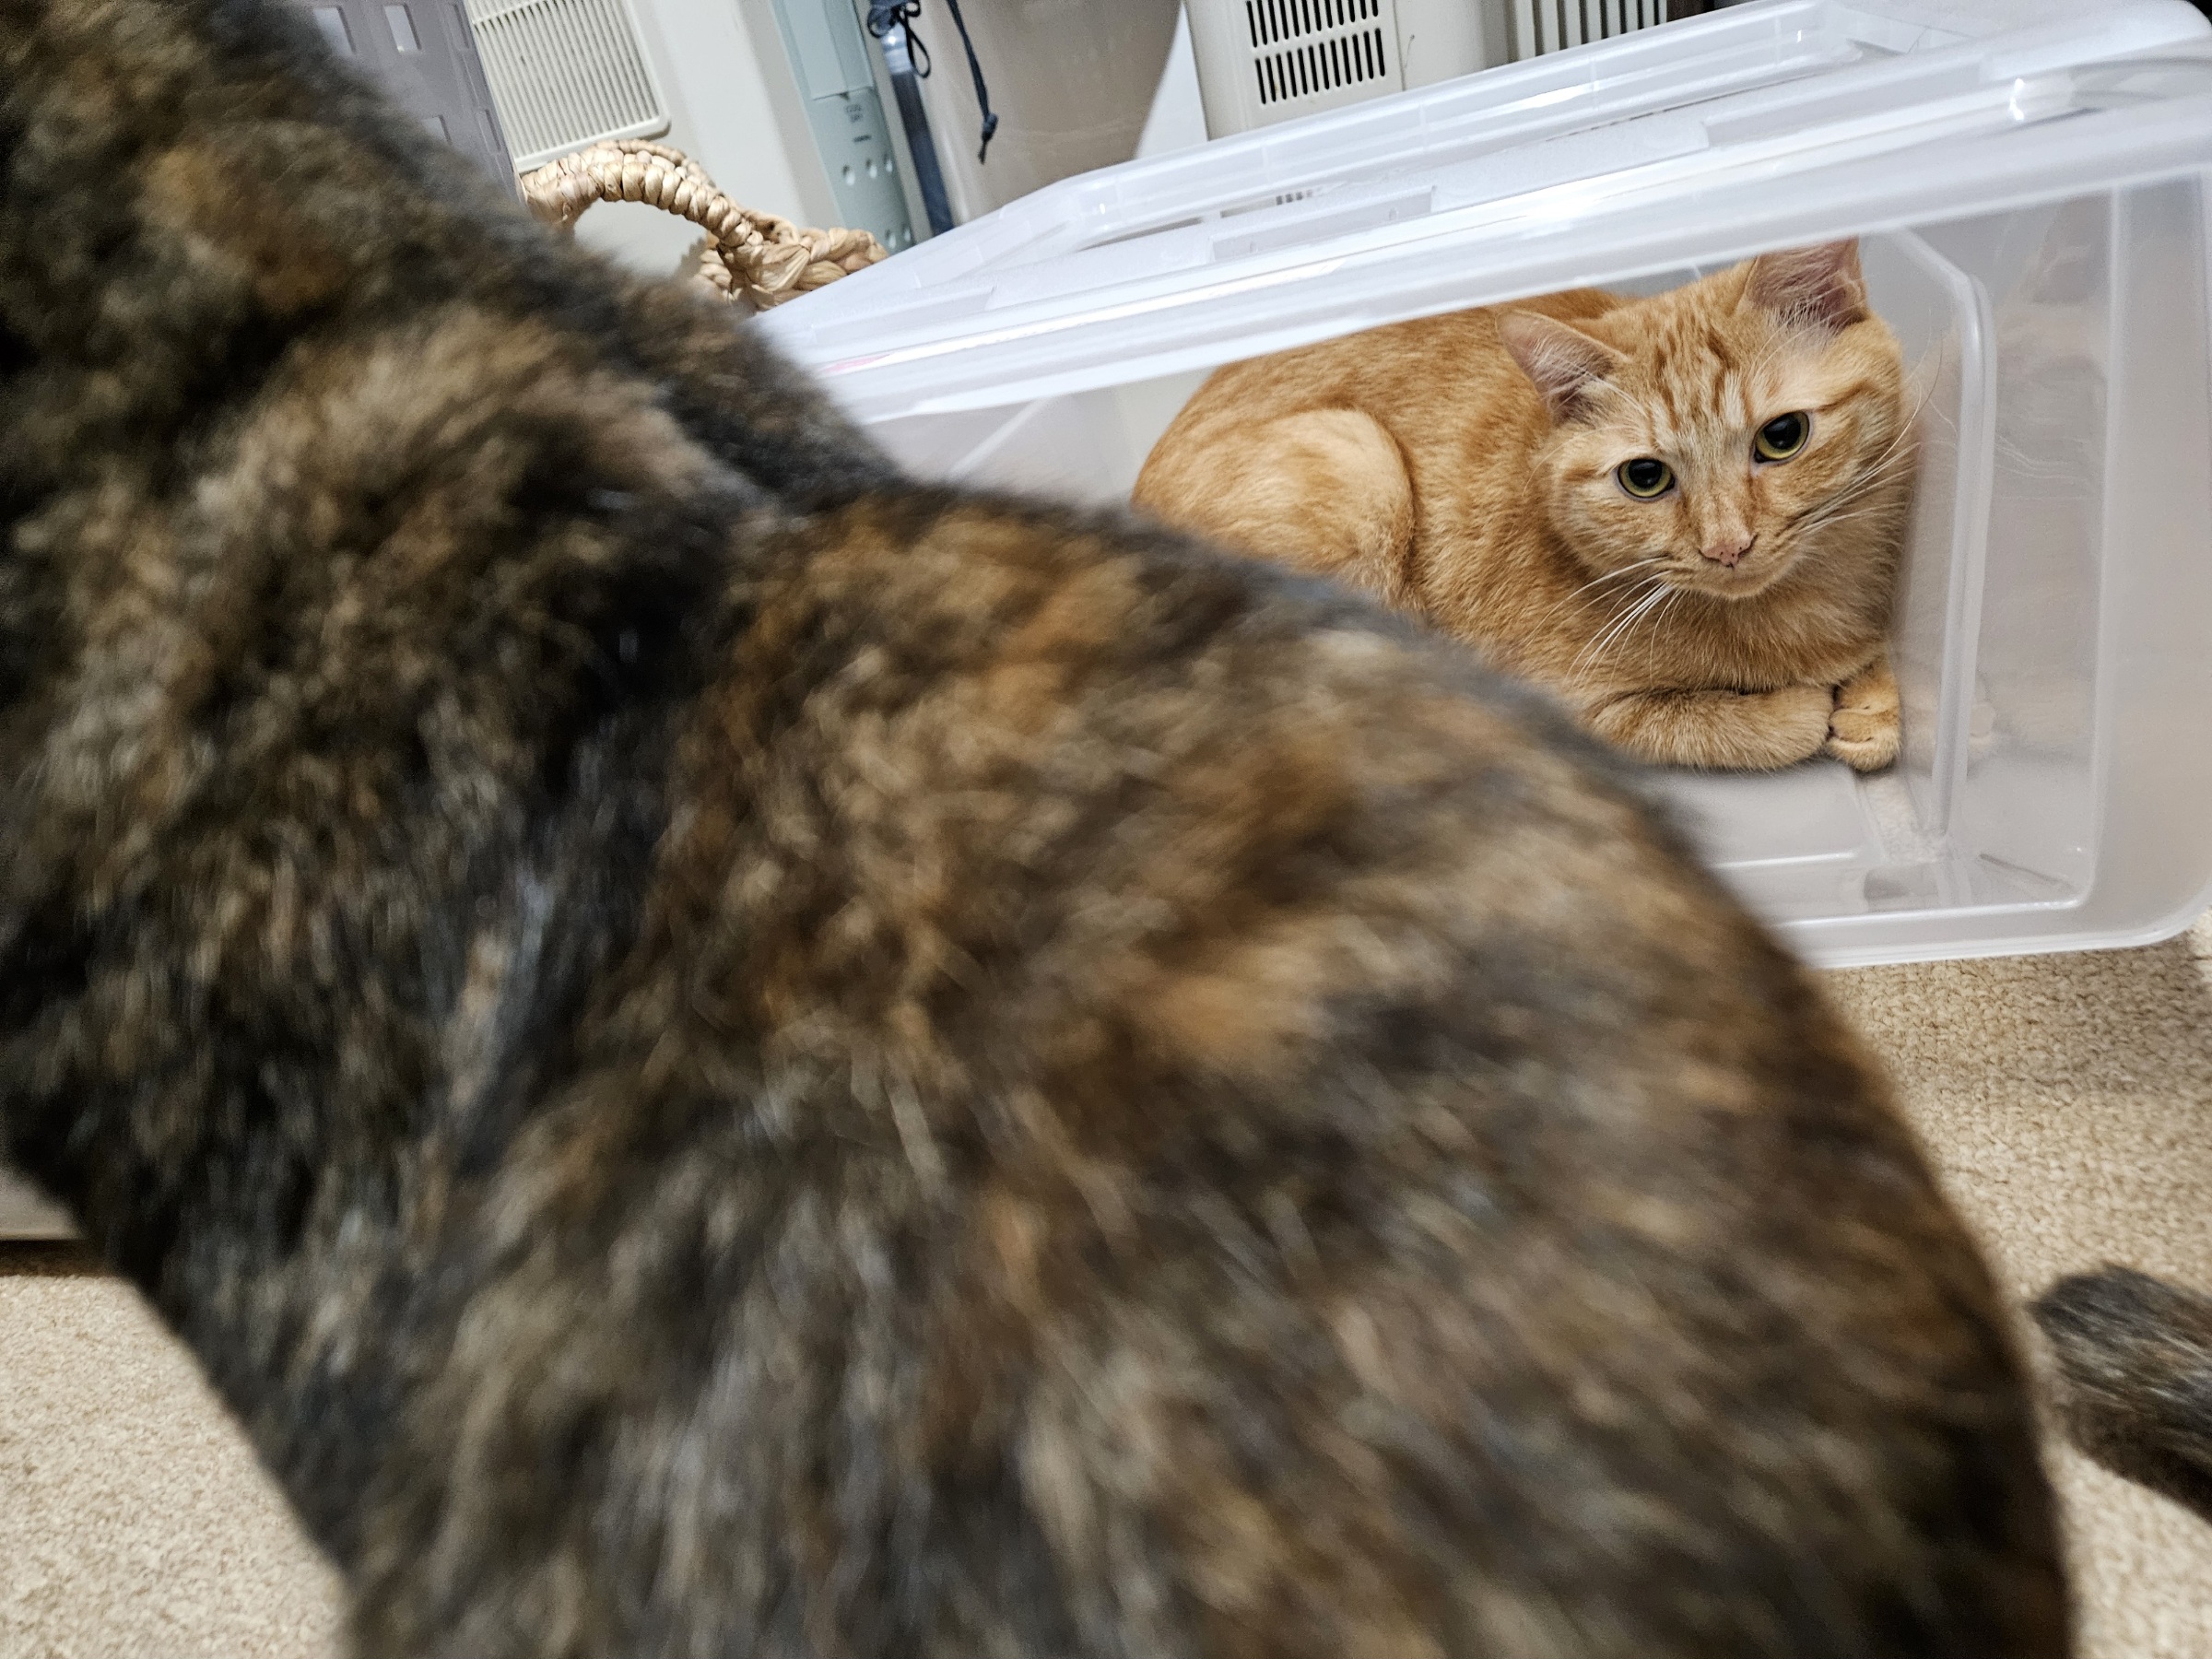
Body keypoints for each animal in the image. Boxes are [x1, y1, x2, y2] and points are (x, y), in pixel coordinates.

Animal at [1132, 244, 1911, 773]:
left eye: (1782, 437)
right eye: (1646, 477)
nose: (1728, 546)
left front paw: (1874, 703)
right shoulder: (1584, 711)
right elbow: (1725, 727)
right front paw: (1806, 707)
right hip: (1359, 462)